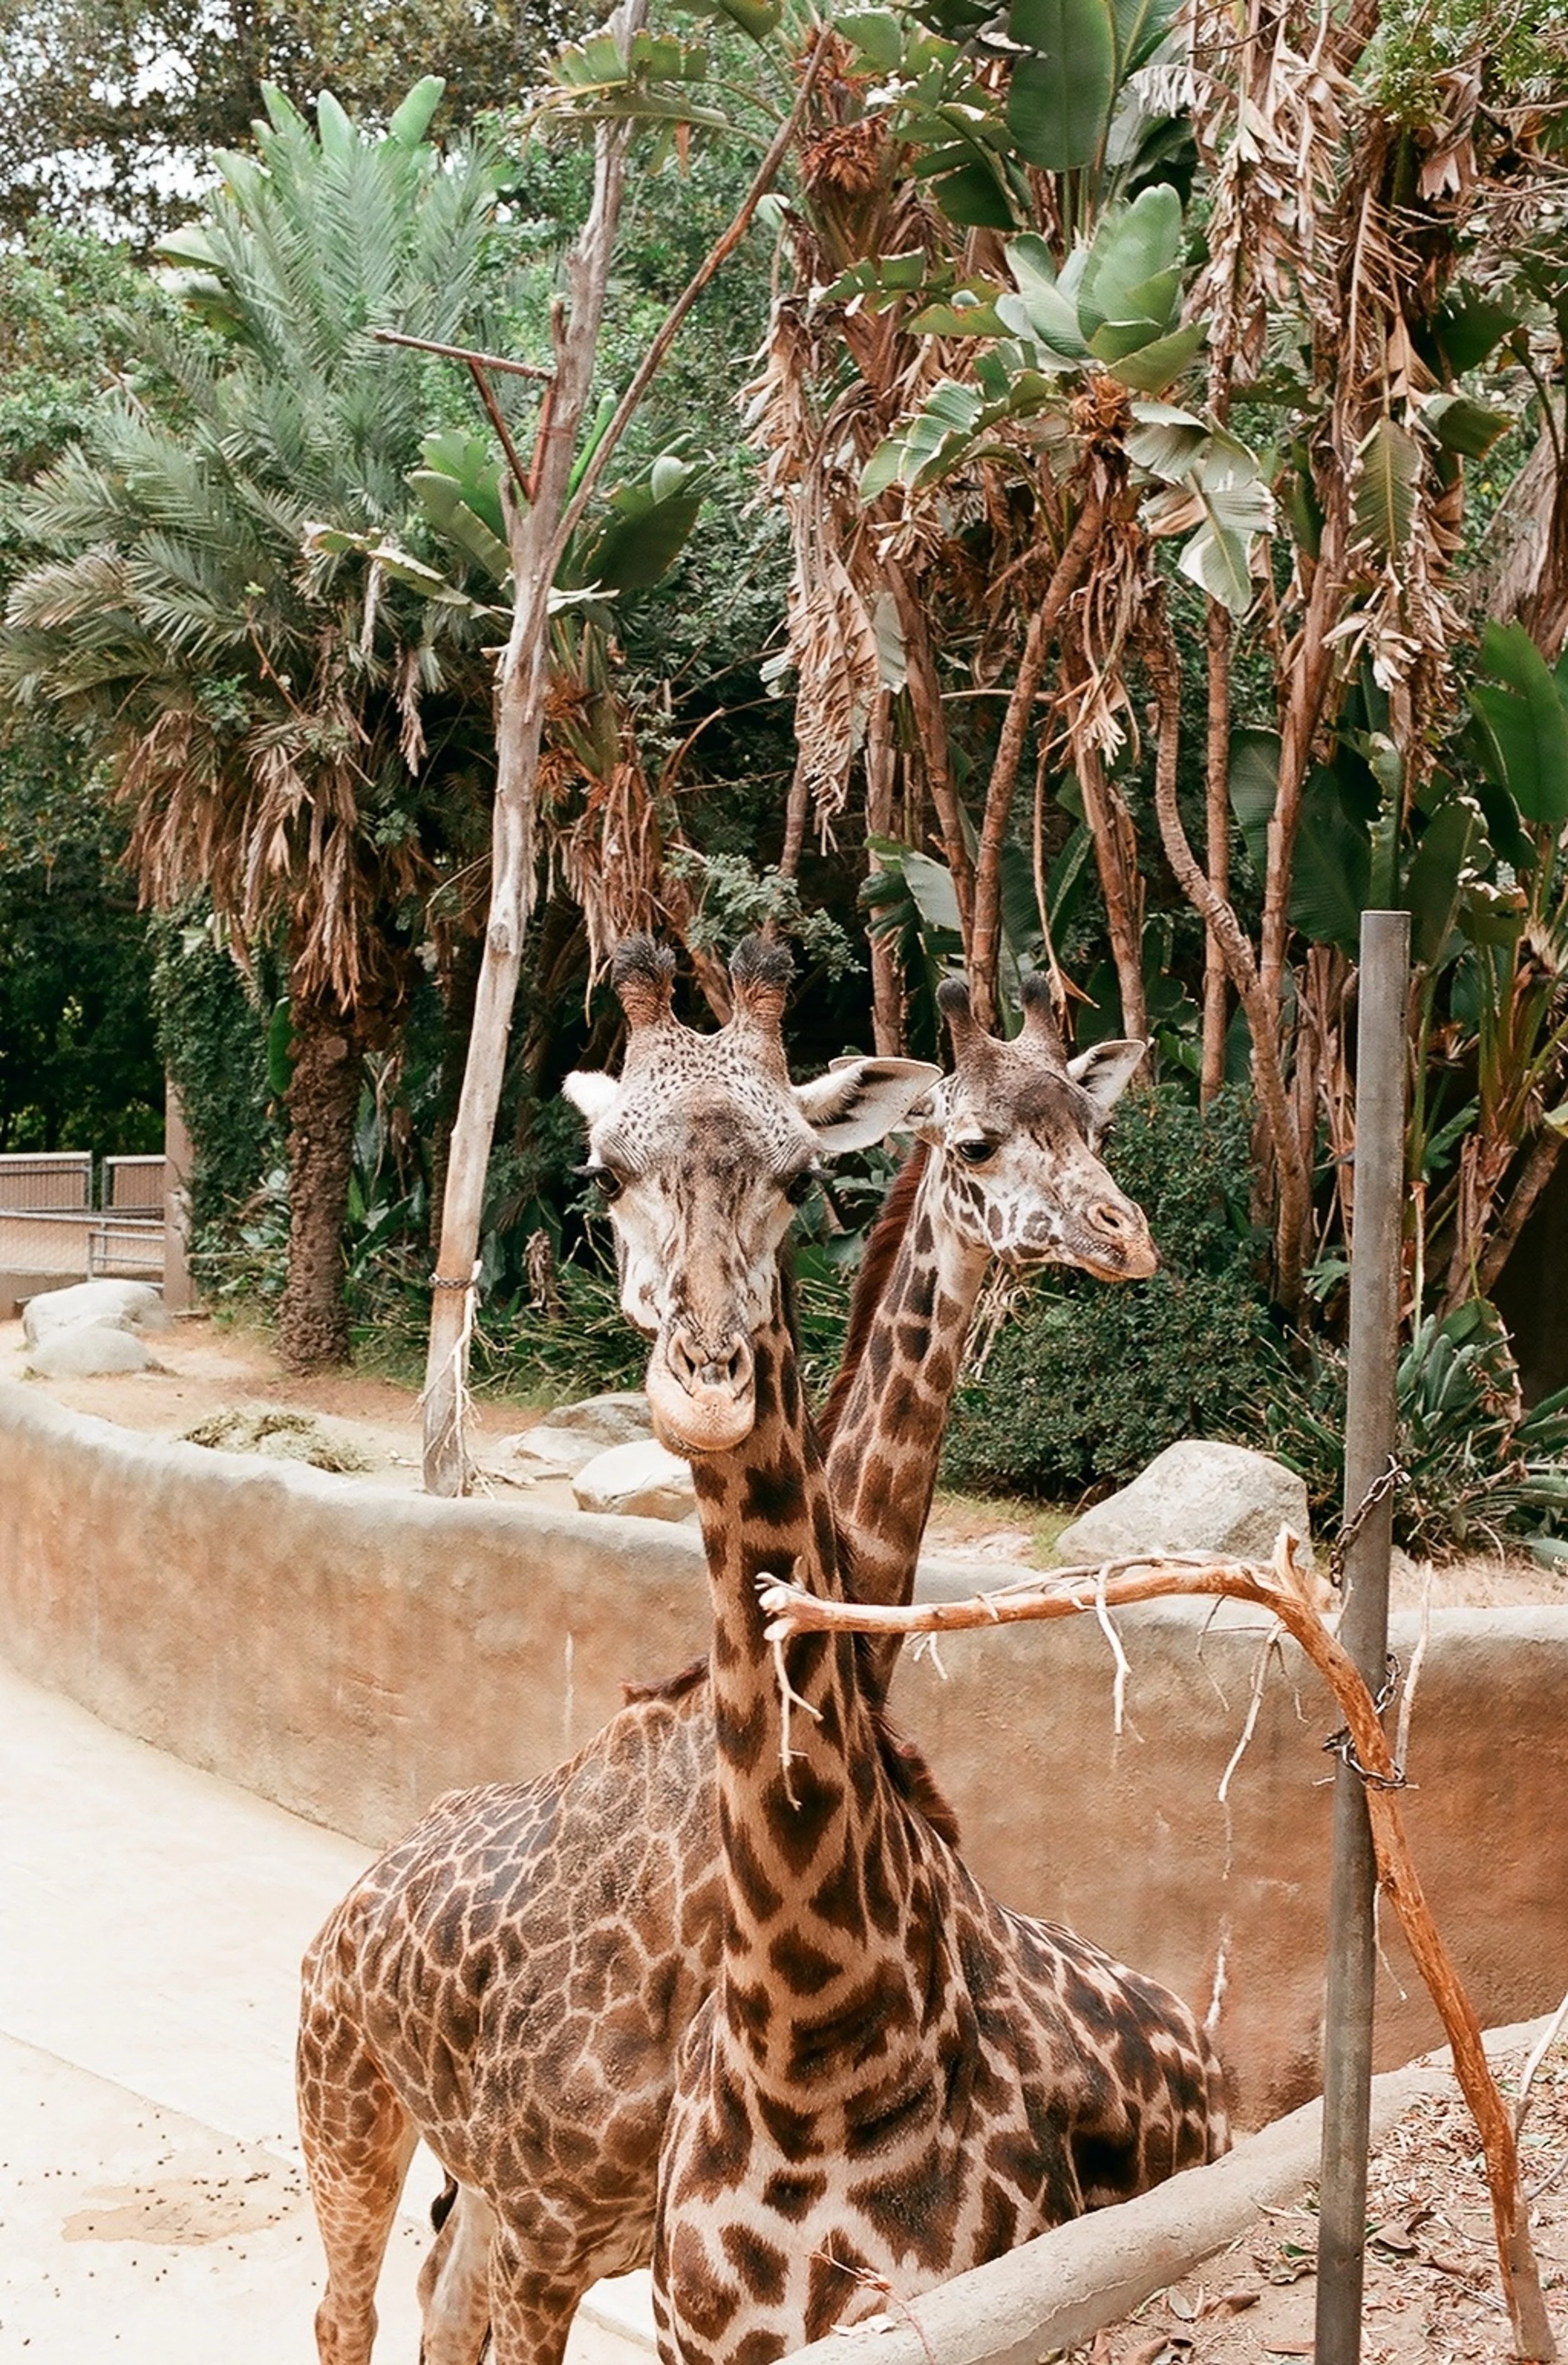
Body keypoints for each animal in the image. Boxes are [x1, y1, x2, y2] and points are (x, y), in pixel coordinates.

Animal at [296, 951, 1162, 2365]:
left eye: (1094, 1129)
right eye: (976, 1140)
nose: (1121, 1234)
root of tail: (354, 1901)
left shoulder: (587, 2225)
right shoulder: (566, 2225)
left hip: (487, 2190)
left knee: (430, 2300)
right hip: (352, 2103)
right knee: (345, 2306)